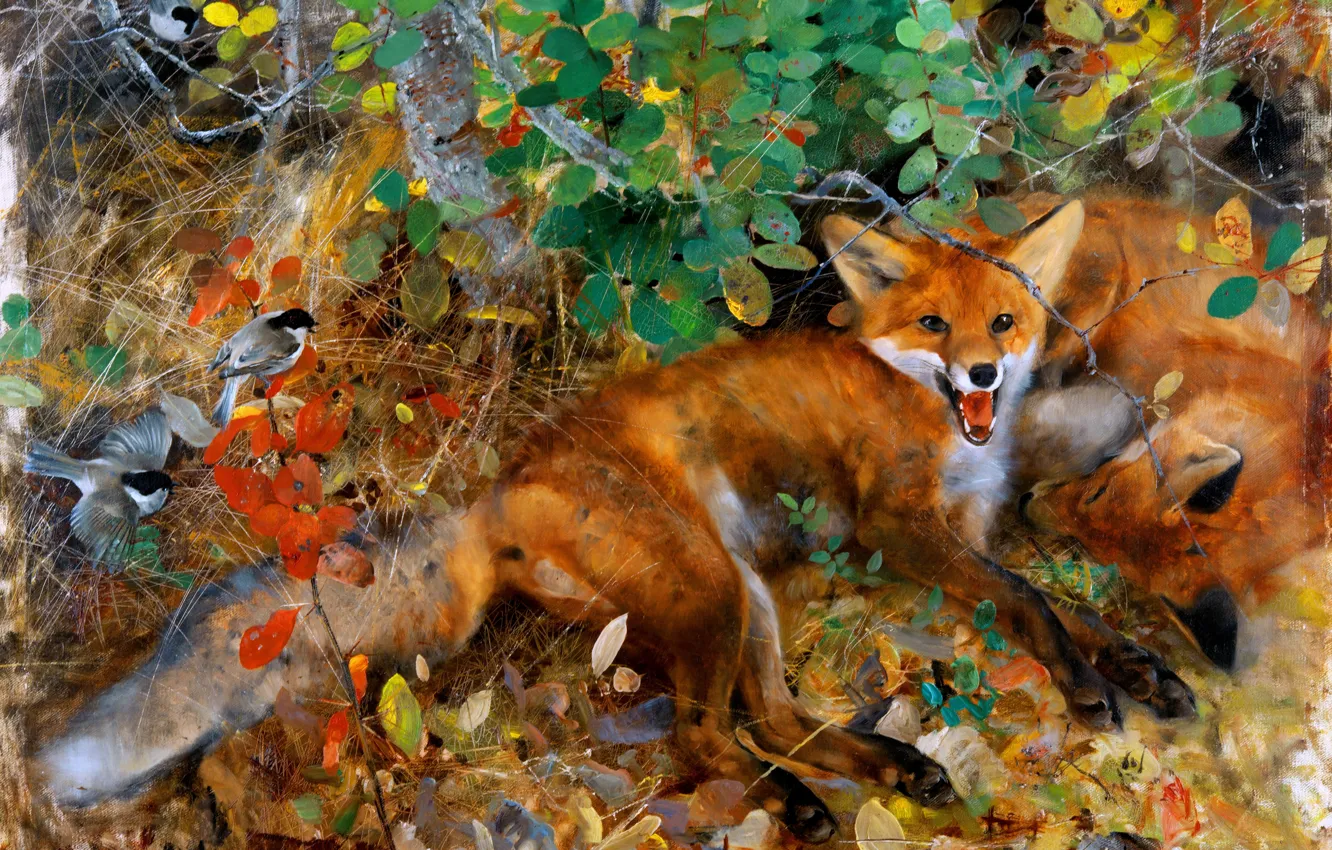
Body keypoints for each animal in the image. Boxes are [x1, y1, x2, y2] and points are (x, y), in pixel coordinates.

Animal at [32, 199, 1180, 837]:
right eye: (936, 324)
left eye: (1006, 322)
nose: (984, 373)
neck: (944, 426)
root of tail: (499, 487)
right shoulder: (905, 529)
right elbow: (1031, 602)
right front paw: (1089, 688)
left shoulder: (969, 531)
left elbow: (1070, 607)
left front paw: (1140, 669)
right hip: (712, 591)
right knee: (708, 733)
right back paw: (800, 805)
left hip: (742, 596)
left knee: (773, 719)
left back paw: (891, 769)